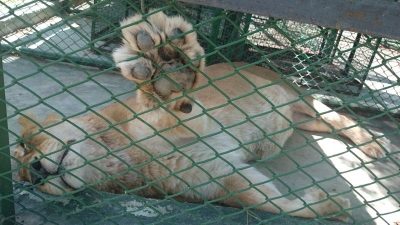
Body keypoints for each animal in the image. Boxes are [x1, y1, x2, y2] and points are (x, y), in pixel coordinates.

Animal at [14, 9, 392, 221]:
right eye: (22, 179)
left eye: (26, 145)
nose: (34, 175)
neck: (123, 162)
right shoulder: (228, 180)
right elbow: (269, 206)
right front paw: (333, 208)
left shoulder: (197, 118)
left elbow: (163, 108)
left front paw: (164, 66)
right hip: (301, 119)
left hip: (303, 98)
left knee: (343, 120)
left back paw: (375, 146)